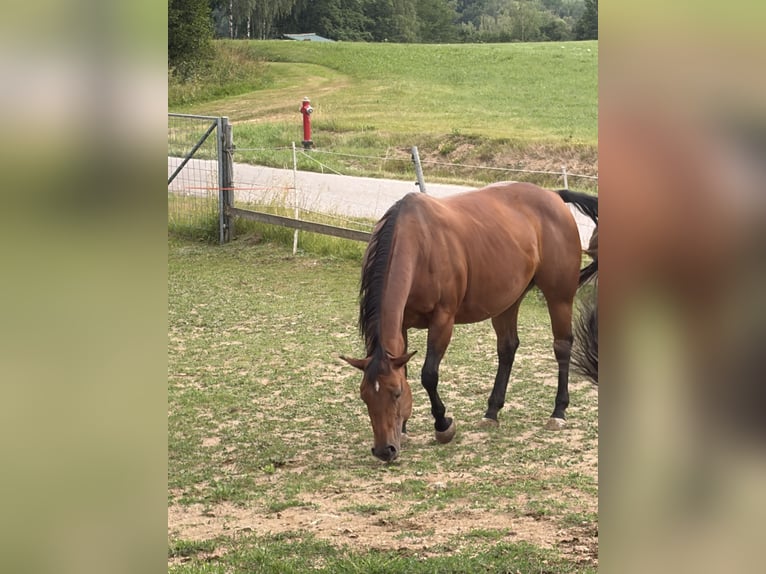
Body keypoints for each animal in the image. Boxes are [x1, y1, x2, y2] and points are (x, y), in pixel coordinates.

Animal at [341, 181, 598, 462]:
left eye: (396, 393)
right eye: (364, 396)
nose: (383, 450)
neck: (420, 244)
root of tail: (553, 196)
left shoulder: (443, 320)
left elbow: (429, 375)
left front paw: (443, 425)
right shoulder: (402, 326)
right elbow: (406, 370)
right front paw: (405, 429)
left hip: (559, 297)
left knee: (562, 345)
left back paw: (558, 412)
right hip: (507, 301)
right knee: (507, 348)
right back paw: (492, 412)